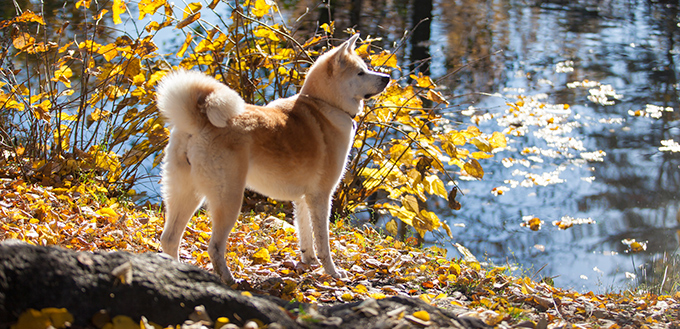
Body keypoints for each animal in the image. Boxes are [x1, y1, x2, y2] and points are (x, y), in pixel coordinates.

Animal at [154, 34, 388, 284]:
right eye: (361, 72)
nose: (387, 78)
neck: (324, 105)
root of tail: (199, 123)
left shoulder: (303, 199)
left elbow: (306, 236)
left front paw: (309, 263)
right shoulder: (321, 196)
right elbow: (323, 242)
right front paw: (333, 273)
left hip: (185, 193)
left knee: (169, 238)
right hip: (227, 199)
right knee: (214, 247)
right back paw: (230, 280)